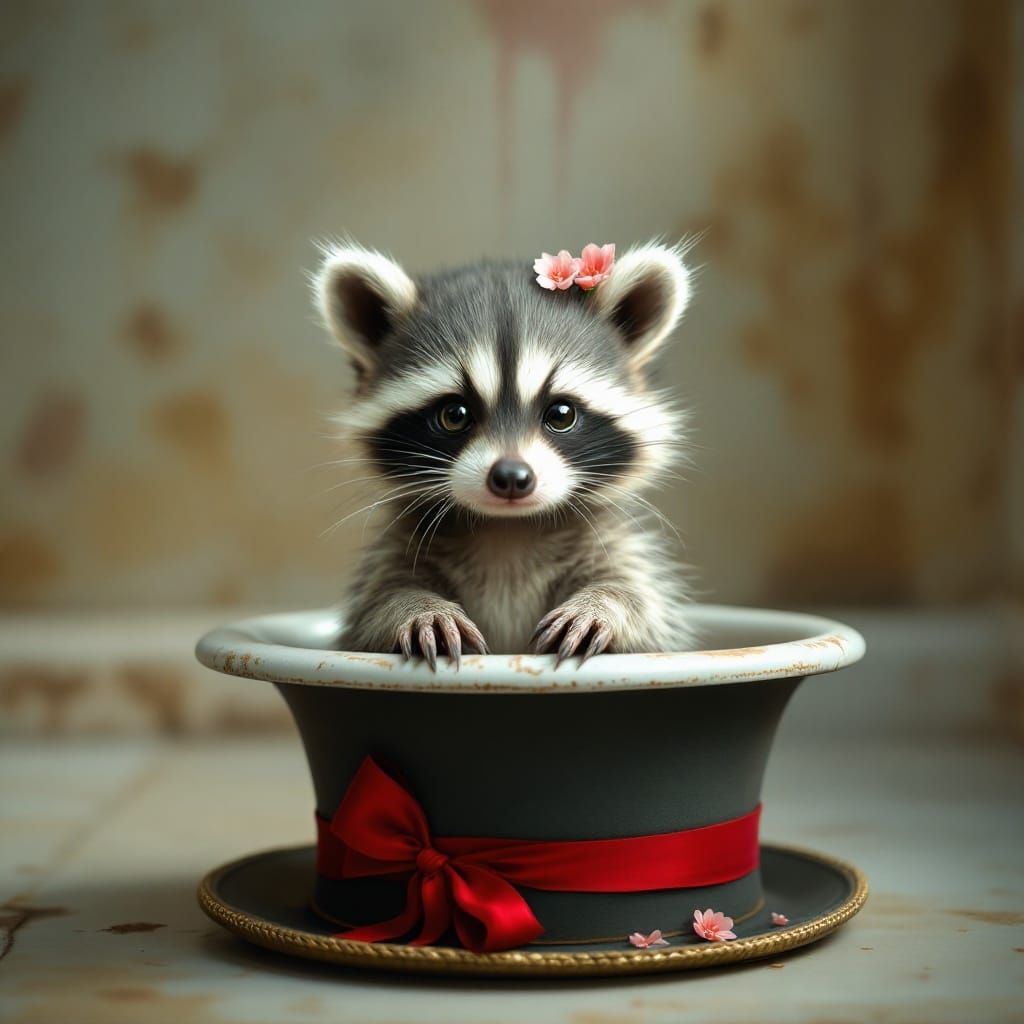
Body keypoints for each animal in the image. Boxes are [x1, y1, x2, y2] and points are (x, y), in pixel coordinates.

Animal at [313, 241, 696, 668]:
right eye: (454, 414)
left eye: (561, 414)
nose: (512, 477)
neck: (507, 528)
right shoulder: (397, 550)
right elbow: (377, 603)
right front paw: (417, 608)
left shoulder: (610, 544)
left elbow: (642, 601)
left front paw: (603, 606)